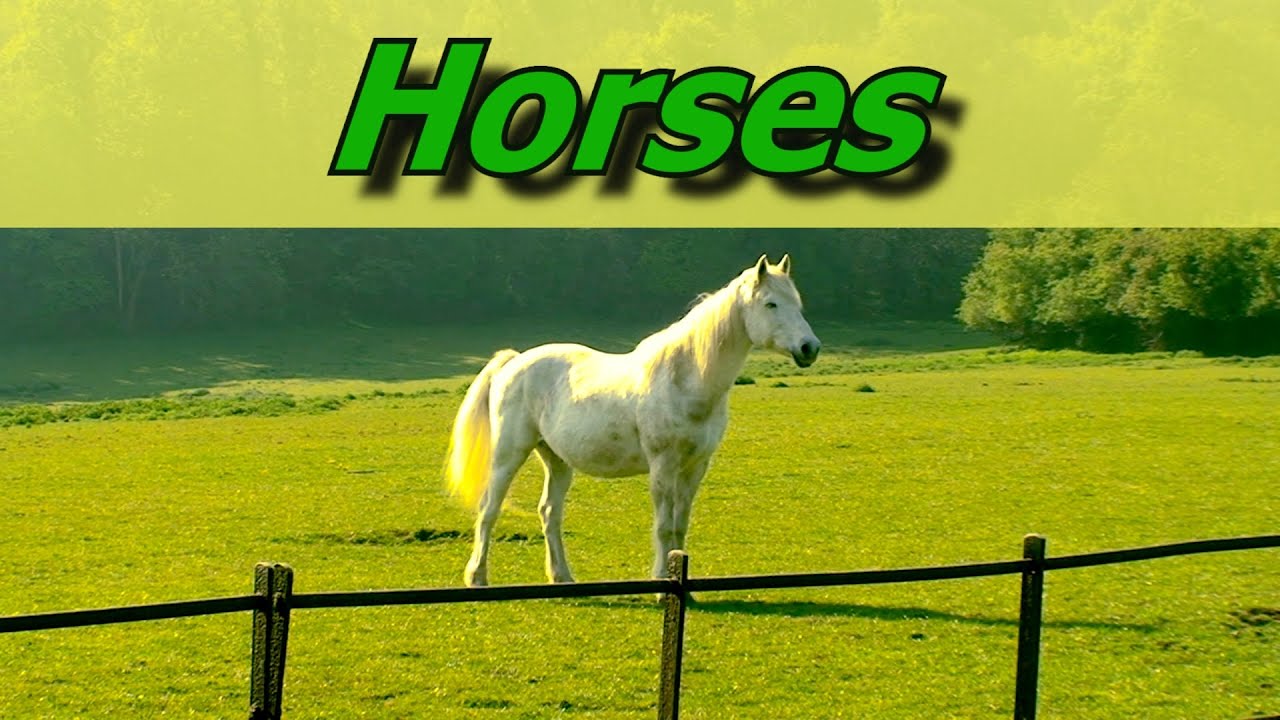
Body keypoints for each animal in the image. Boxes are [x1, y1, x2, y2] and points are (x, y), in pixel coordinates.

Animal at [443, 254, 821, 587]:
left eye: (798, 303)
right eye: (771, 304)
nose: (810, 348)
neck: (684, 379)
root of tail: (514, 361)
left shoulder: (696, 466)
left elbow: (680, 525)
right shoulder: (663, 466)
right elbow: (663, 526)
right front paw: (661, 580)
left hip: (558, 461)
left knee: (549, 513)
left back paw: (562, 576)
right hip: (509, 454)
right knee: (489, 509)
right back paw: (477, 577)